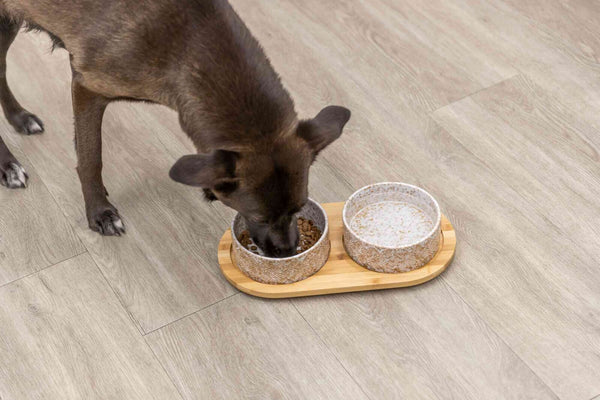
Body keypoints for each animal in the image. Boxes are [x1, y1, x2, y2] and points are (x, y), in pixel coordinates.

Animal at [0, 0, 352, 258]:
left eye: (299, 208)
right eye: (259, 218)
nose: (288, 251)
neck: (187, 45)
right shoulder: (87, 88)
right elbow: (90, 158)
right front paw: (100, 213)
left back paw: (19, 118)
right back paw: (8, 167)